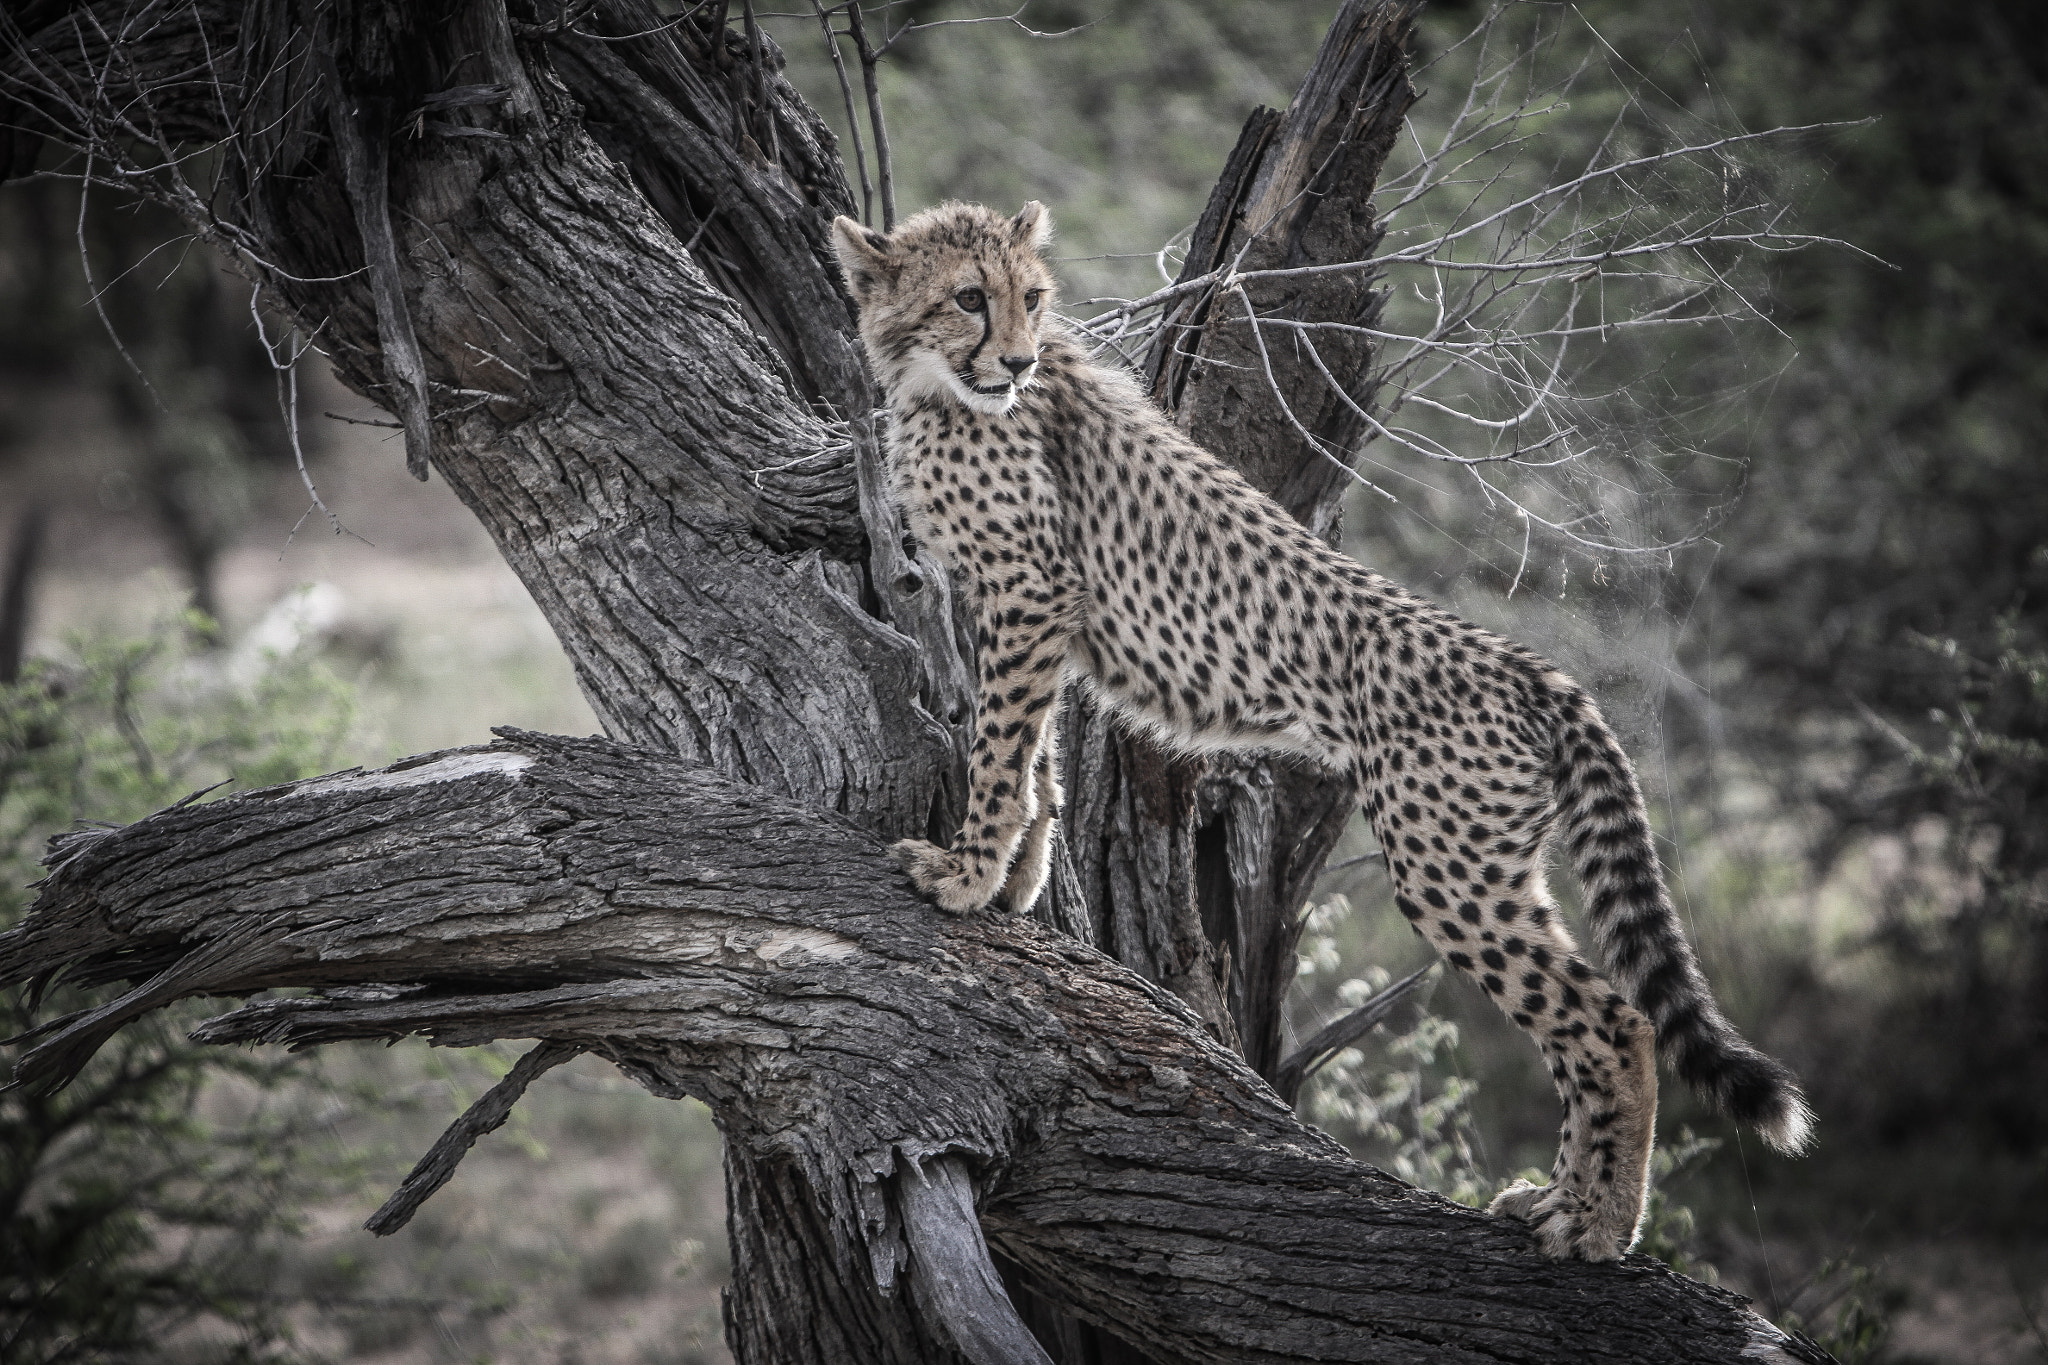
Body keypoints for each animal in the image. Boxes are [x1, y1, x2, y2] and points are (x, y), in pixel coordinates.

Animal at [830, 199, 1811, 1261]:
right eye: (971, 297)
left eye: (1032, 297)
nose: (1016, 361)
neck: (936, 385)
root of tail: (1530, 667)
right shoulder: (1026, 608)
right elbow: (1034, 754)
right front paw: (1013, 880)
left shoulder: (1031, 590)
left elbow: (1000, 745)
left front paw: (965, 875)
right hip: (1495, 863)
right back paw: (1558, 1200)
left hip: (1446, 863)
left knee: (1614, 1019)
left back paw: (1597, 1226)